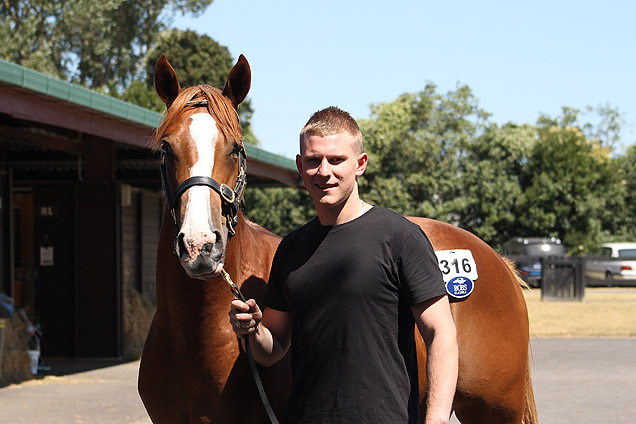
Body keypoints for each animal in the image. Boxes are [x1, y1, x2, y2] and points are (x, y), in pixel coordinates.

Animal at [138, 53, 536, 424]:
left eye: (235, 148)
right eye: (166, 148)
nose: (199, 245)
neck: (197, 336)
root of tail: (498, 262)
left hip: (495, 411)